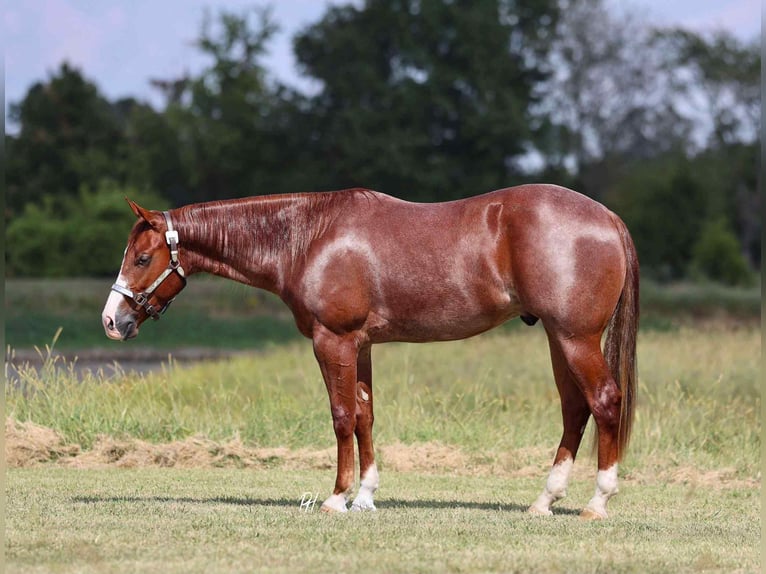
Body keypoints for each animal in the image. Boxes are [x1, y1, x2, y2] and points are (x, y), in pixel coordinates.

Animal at [101, 184, 638, 519]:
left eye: (142, 258)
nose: (111, 321)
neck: (309, 237)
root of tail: (608, 217)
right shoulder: (359, 347)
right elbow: (364, 416)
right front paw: (365, 496)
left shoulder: (332, 340)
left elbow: (341, 416)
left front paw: (337, 498)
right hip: (558, 339)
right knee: (575, 410)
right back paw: (545, 501)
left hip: (575, 338)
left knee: (604, 401)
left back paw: (597, 502)